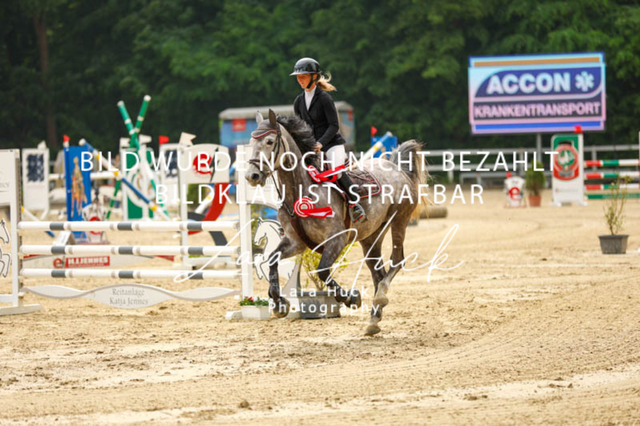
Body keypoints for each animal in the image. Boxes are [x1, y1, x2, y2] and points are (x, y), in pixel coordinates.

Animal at [245, 109, 427, 335]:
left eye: (270, 141)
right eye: (251, 142)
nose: (251, 176)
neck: (301, 189)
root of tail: (397, 167)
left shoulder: (337, 239)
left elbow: (322, 271)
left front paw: (351, 298)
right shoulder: (296, 242)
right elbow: (271, 260)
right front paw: (279, 304)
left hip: (399, 220)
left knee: (397, 260)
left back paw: (380, 299)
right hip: (371, 236)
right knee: (377, 271)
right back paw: (374, 319)